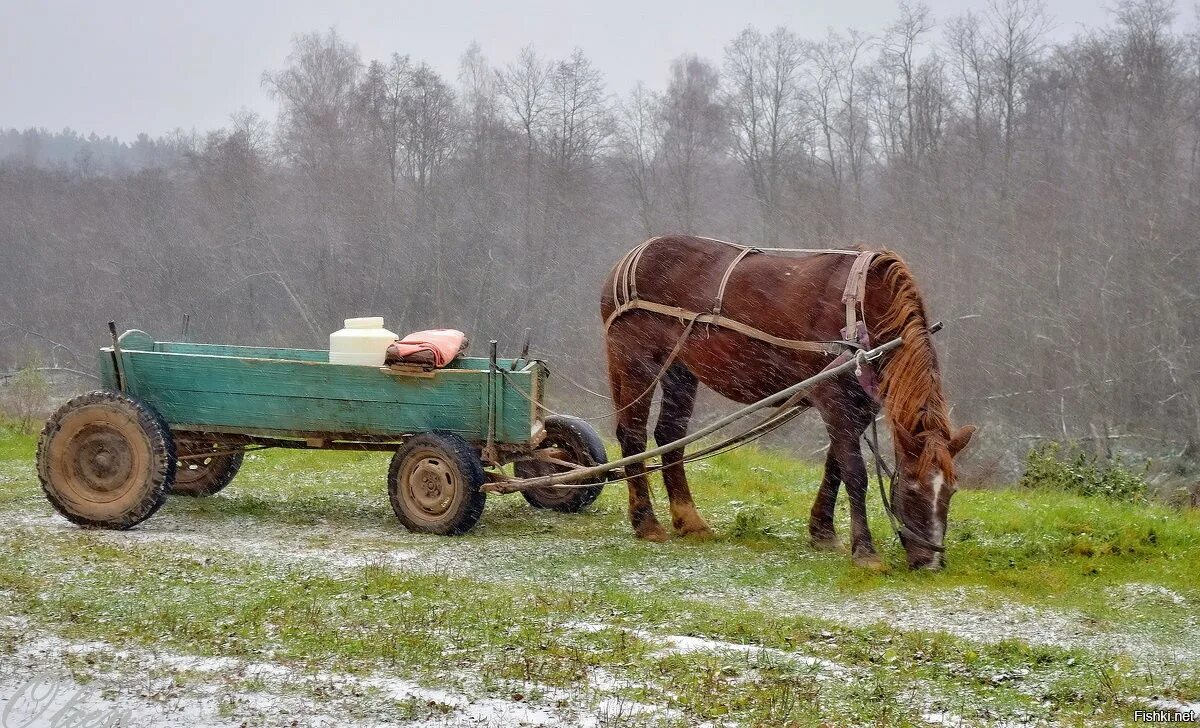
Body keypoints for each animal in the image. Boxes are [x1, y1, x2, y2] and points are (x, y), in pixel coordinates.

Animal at [600, 236, 974, 573]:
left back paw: (689, 520)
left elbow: (835, 465)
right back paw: (646, 523)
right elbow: (855, 472)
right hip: (636, 361)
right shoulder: (834, 396)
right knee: (633, 436)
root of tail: (629, 259)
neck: (862, 308)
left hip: (680, 370)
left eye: (951, 492)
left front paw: (822, 532)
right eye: (911, 488)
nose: (931, 564)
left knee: (670, 437)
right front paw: (865, 552)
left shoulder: (861, 404)